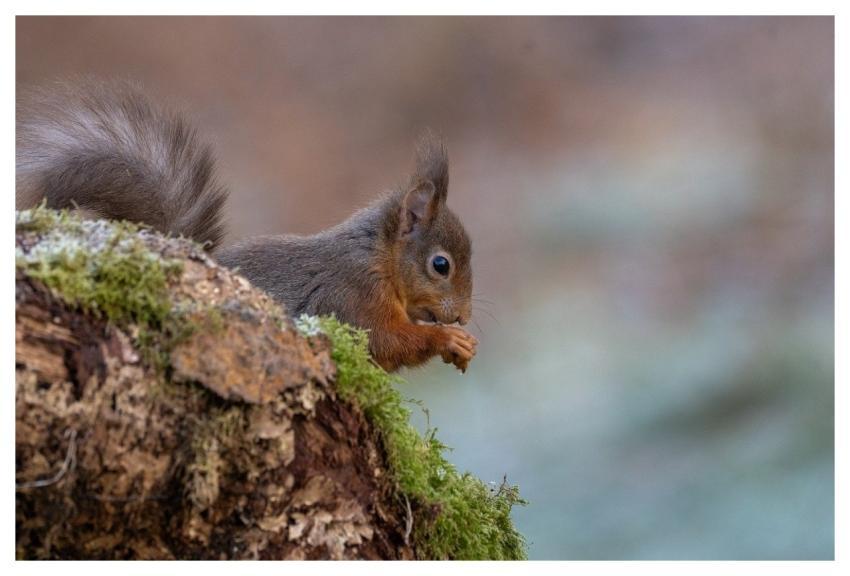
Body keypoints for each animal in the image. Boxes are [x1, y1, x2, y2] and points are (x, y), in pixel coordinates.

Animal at [16, 79, 478, 373]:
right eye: (441, 265)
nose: (463, 317)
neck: (379, 259)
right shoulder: (350, 296)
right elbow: (382, 342)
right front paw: (446, 339)